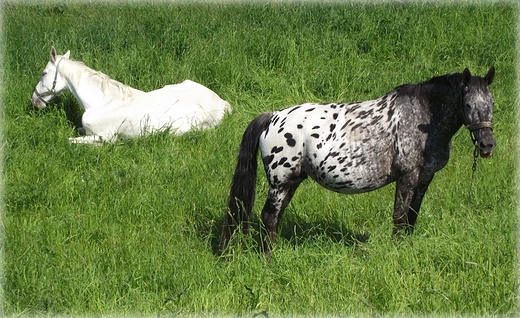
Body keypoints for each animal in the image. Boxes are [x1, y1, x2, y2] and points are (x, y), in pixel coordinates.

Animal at [30, 46, 230, 143]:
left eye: (44, 73)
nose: (34, 101)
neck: (102, 102)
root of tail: (221, 102)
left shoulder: (105, 136)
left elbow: (70, 141)